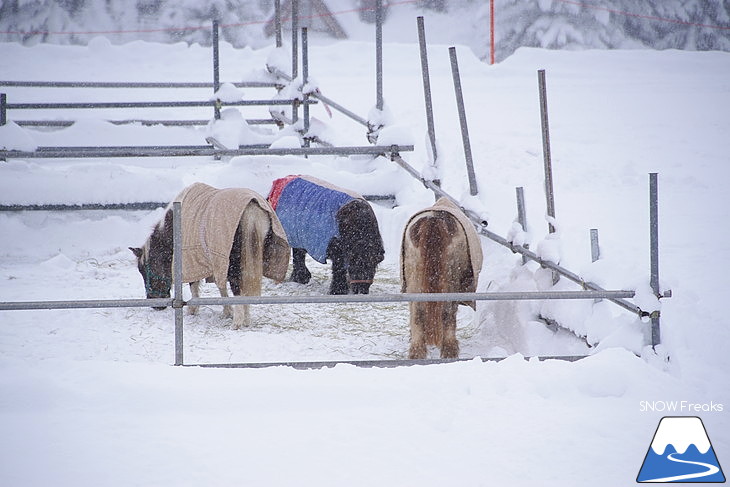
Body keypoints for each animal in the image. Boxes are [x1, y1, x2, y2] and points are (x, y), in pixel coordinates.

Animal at [129, 185, 288, 330]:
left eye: (144, 270)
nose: (155, 305)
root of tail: (251, 208)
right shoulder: (216, 262)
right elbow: (220, 286)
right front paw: (227, 311)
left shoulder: (192, 261)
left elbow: (194, 285)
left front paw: (193, 310)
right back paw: (246, 319)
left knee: (237, 287)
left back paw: (236, 323)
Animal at [400, 196, 480, 360]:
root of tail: (433, 221)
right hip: (450, 282)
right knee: (447, 312)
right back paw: (449, 350)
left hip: (414, 280)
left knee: (417, 312)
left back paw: (417, 352)